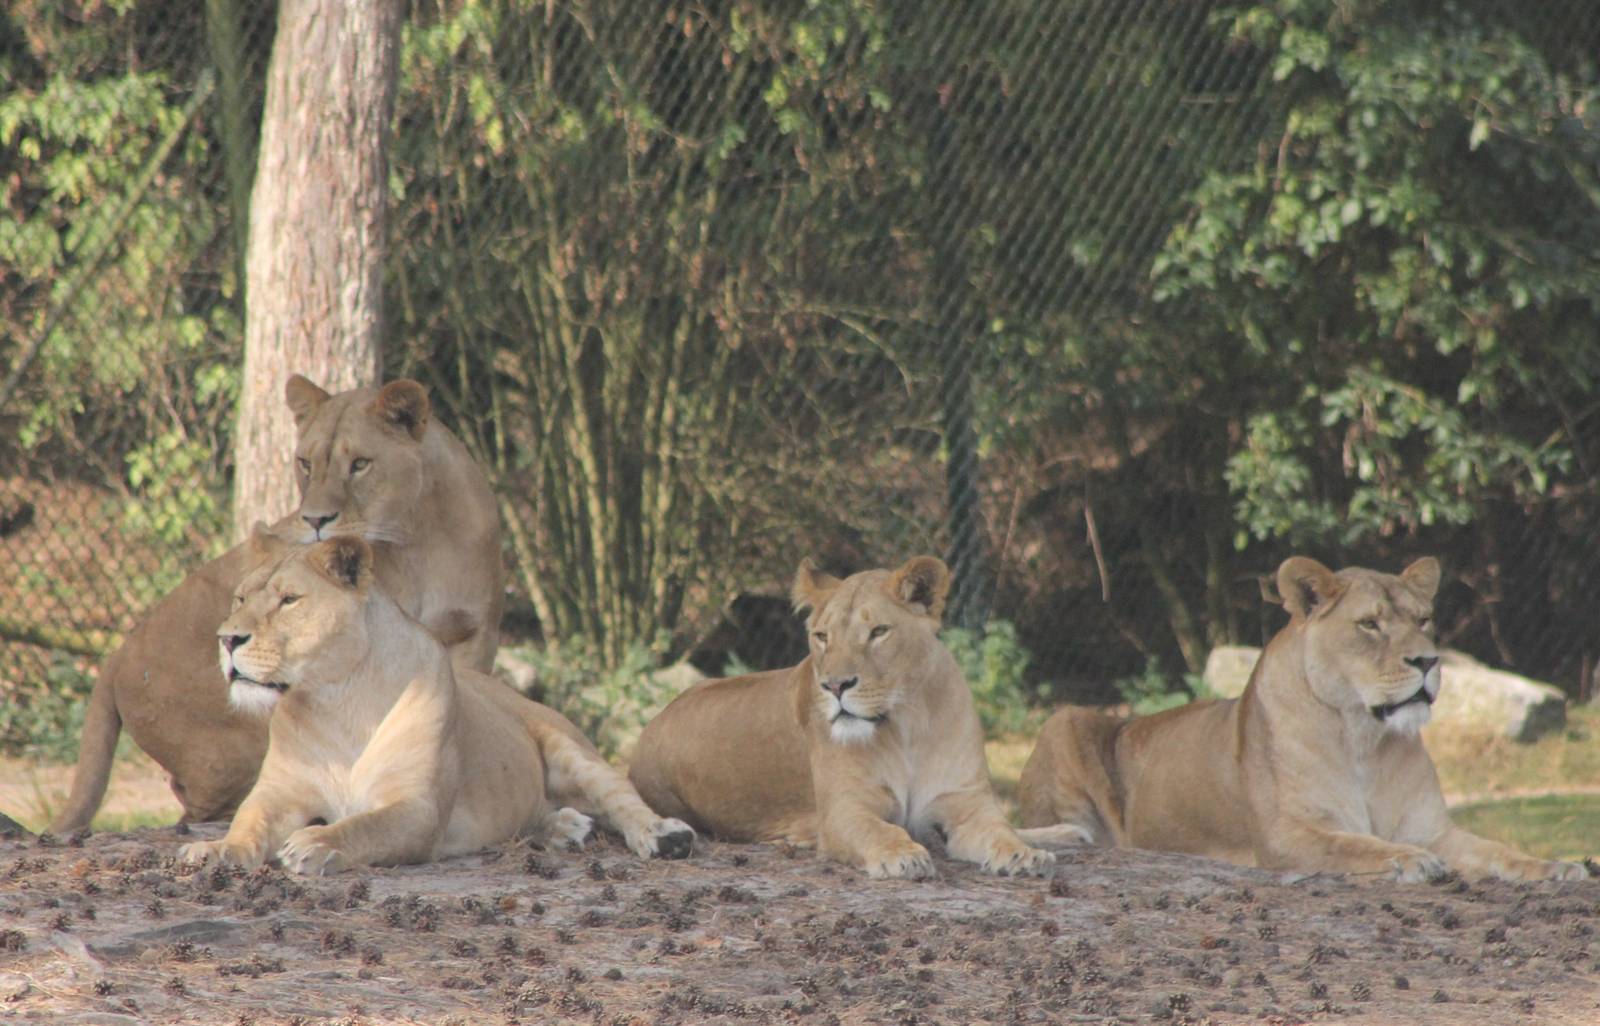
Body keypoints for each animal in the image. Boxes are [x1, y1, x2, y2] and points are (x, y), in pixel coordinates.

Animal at [49, 376, 505, 835]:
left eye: (360, 464)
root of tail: (115, 657)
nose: (315, 520)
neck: (419, 537)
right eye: (305, 464)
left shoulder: (474, 636)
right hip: (235, 745)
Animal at [180, 535, 694, 874]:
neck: (336, 700)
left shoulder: (418, 809)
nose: (226, 639)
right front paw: (217, 849)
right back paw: (564, 827)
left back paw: (665, 836)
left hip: (569, 747)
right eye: (239, 598)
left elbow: (365, 827)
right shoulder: (278, 792)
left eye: (289, 600)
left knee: (623, 798)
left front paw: (315, 843)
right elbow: (248, 821)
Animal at [628, 556, 1068, 880]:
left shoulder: (967, 803)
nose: (835, 685)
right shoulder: (845, 809)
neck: (907, 724)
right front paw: (902, 855)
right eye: (822, 636)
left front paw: (1026, 855)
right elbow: (880, 828)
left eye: (878, 632)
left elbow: (1001, 829)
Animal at [1017, 556, 1589, 882]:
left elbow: (1495, 850)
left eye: (1424, 619)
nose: (1429, 661)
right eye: (1370, 625)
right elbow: (1352, 843)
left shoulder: (1432, 828)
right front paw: (1409, 861)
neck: (1364, 738)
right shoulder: (1286, 836)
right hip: (1064, 720)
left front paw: (1557, 867)